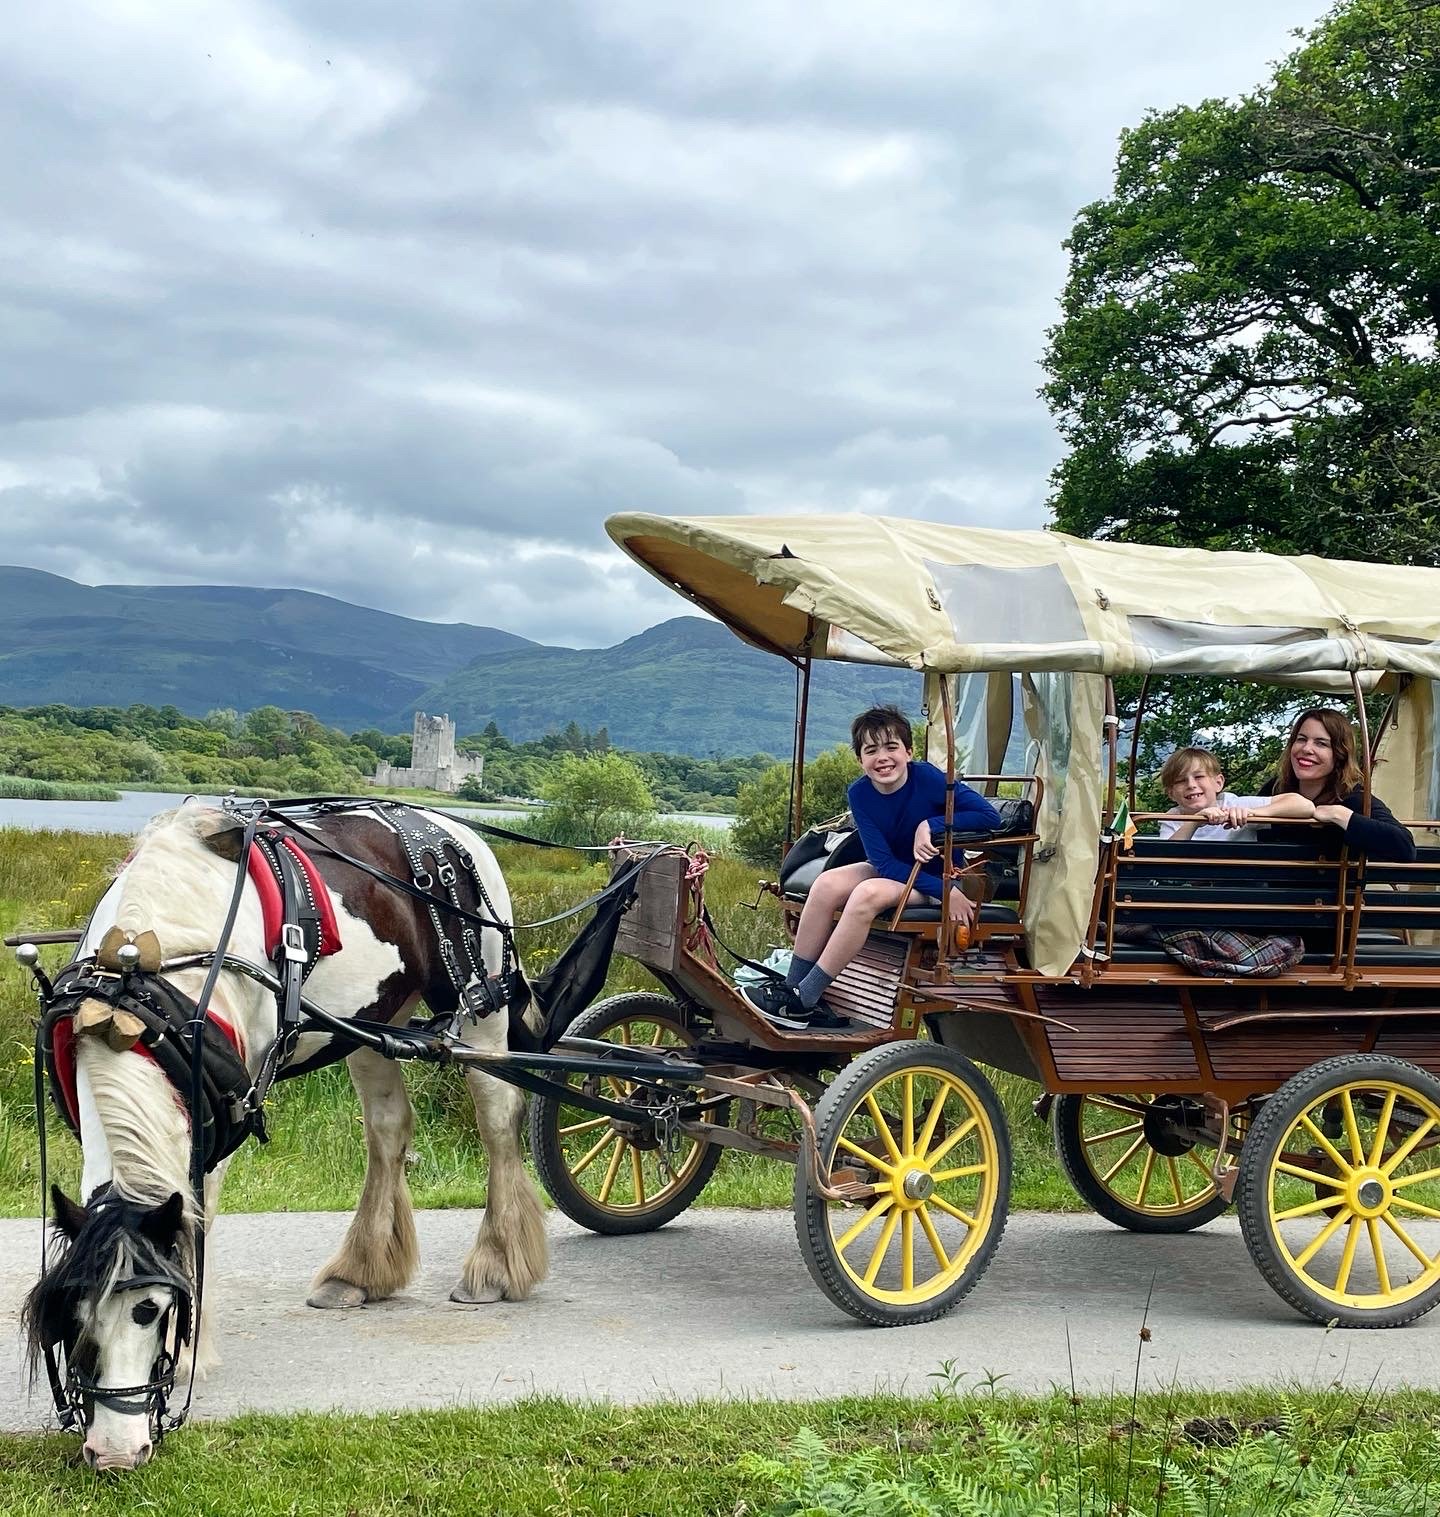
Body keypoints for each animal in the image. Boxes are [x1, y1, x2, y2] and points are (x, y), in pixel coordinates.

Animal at [22, 800, 549, 1474]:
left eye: (153, 1311)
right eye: (73, 1313)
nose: (115, 1453)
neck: (144, 973)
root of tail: (451, 826)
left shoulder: (222, 1115)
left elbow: (198, 1219)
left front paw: (192, 1354)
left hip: (480, 1014)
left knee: (498, 1118)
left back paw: (497, 1265)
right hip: (373, 1026)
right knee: (388, 1130)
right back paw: (359, 1272)